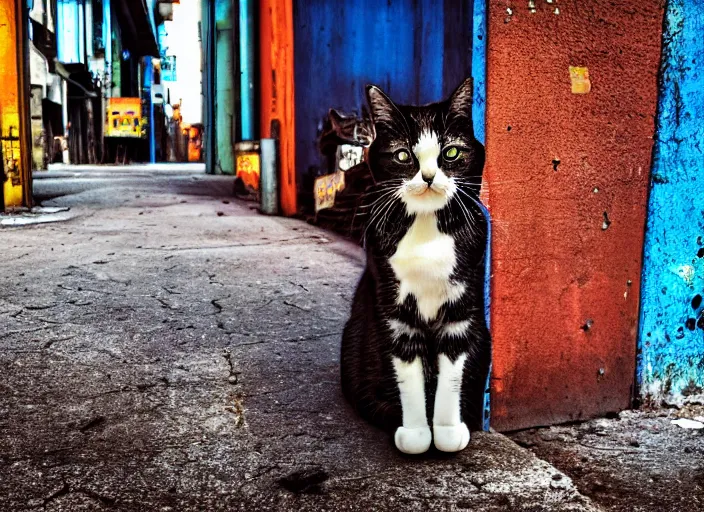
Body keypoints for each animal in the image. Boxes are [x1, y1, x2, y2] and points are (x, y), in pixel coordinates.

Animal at [340, 78, 490, 454]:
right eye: (403, 155)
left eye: (450, 153)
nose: (428, 175)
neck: (426, 227)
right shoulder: (395, 317)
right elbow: (410, 378)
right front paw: (416, 435)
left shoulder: (461, 316)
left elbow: (451, 376)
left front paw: (448, 433)